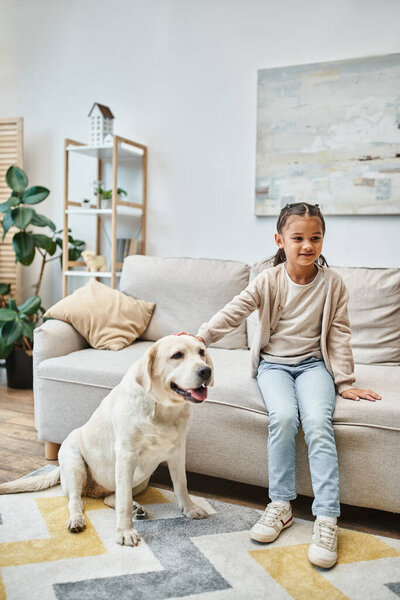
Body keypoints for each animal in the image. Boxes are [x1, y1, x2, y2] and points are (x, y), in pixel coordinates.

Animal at [0, 336, 212, 548]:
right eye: (177, 355)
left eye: (201, 352)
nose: (206, 371)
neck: (162, 408)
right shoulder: (126, 456)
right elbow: (124, 501)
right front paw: (125, 532)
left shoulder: (177, 452)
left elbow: (181, 485)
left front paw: (190, 508)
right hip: (75, 463)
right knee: (76, 500)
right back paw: (77, 519)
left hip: (142, 479)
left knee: (112, 497)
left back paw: (135, 508)